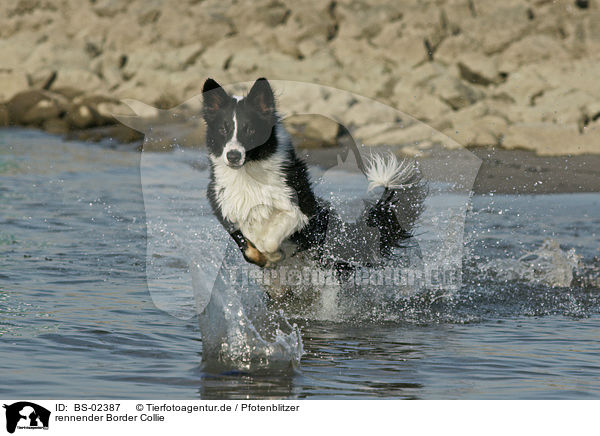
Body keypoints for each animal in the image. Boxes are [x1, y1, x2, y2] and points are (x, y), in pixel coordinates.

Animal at [200, 78, 422, 270]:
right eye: (223, 129)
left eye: (250, 130)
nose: (233, 156)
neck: (248, 172)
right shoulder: (224, 207)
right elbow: (247, 247)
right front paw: (263, 257)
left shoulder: (301, 210)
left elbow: (270, 240)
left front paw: (273, 254)